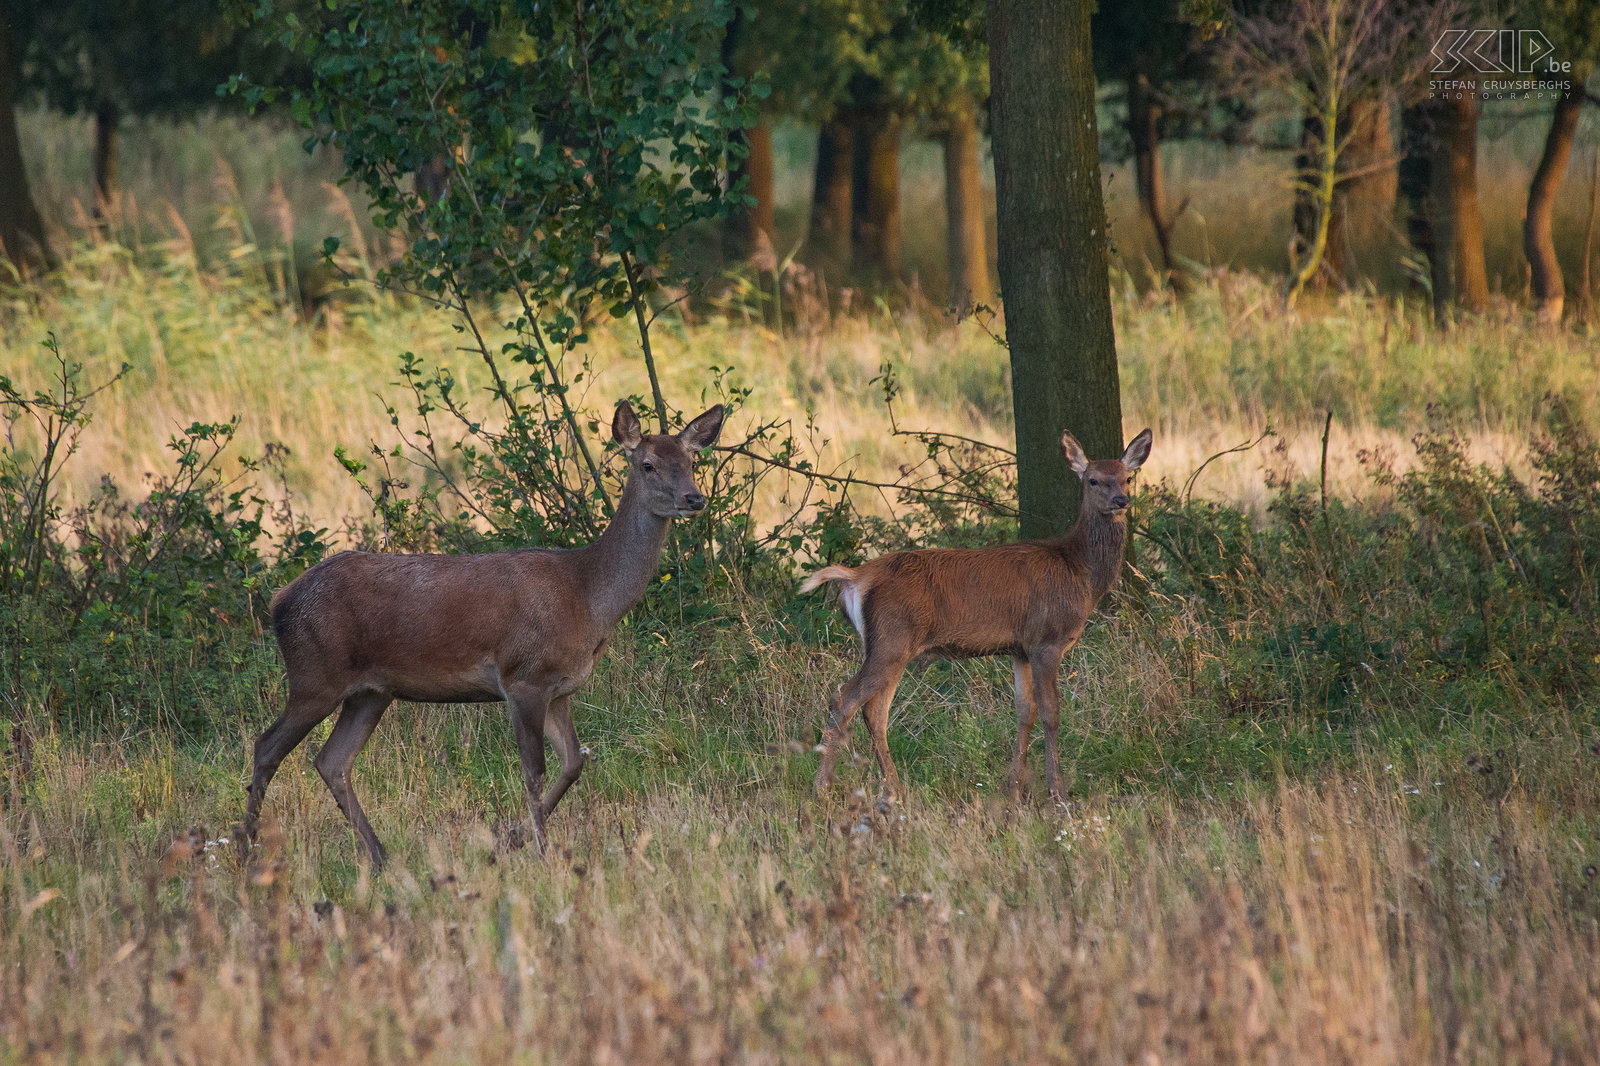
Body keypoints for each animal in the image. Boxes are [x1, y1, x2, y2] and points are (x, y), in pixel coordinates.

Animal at [243, 398, 726, 864]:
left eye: (691, 460)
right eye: (647, 464)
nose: (695, 498)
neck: (587, 596)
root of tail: (280, 600)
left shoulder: (560, 689)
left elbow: (574, 763)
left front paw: (510, 840)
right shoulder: (523, 677)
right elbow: (534, 772)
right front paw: (541, 854)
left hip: (370, 693)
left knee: (332, 761)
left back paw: (379, 856)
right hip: (314, 675)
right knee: (267, 746)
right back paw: (247, 852)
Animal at [800, 422, 1152, 797]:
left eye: (1127, 477)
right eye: (1093, 480)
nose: (1121, 501)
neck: (1079, 570)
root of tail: (856, 576)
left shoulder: (1019, 647)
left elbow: (1024, 712)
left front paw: (1013, 788)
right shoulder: (1046, 640)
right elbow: (1051, 712)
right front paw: (1056, 790)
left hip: (889, 645)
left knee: (874, 712)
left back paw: (893, 789)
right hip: (892, 639)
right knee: (844, 700)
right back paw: (823, 788)